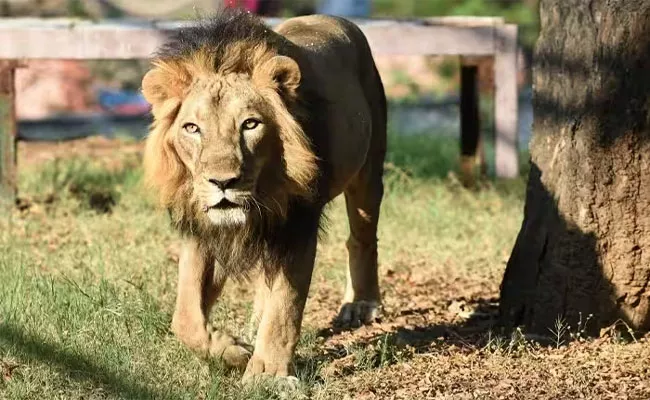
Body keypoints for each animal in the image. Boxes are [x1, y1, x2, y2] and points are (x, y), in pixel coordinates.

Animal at [140, 8, 384, 378]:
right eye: (192, 128)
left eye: (250, 124)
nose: (222, 182)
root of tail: (331, 17)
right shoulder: (203, 229)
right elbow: (185, 318)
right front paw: (233, 351)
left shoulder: (296, 227)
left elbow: (284, 309)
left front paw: (267, 374)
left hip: (368, 174)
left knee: (362, 237)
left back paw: (361, 304)